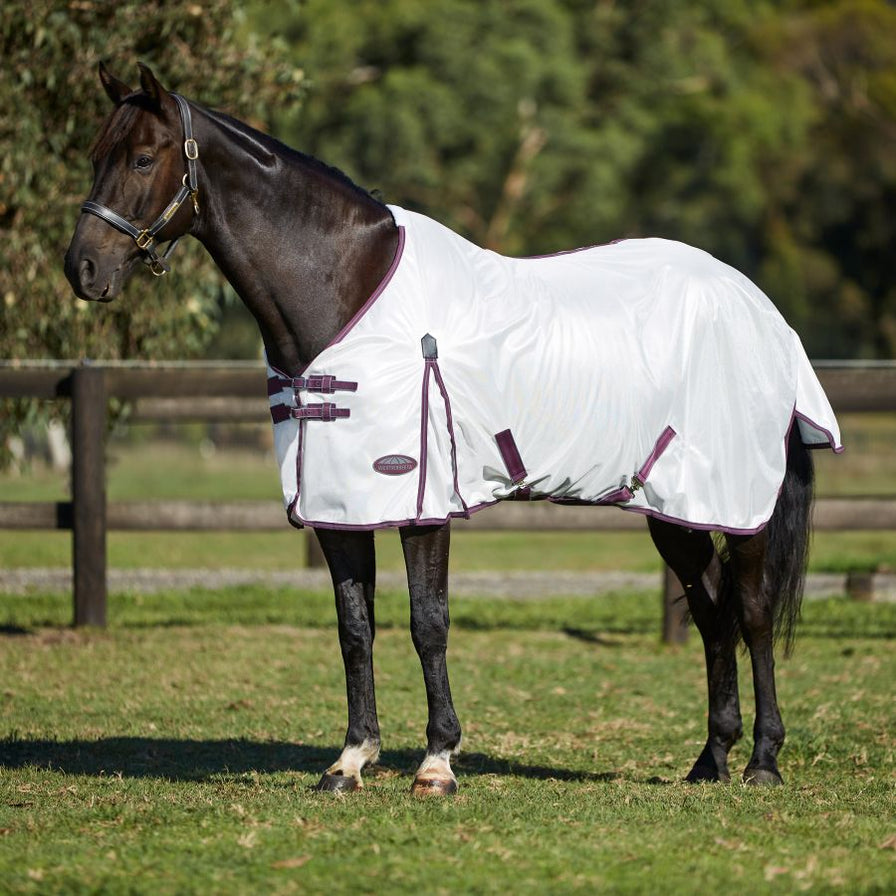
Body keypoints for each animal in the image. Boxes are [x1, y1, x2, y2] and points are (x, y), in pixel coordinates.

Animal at [65, 64, 841, 795]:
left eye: (143, 158)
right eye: (95, 153)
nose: (84, 268)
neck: (347, 287)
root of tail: (759, 309)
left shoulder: (423, 502)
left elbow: (427, 622)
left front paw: (437, 762)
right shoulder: (339, 509)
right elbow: (355, 628)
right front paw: (350, 760)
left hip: (737, 503)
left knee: (751, 610)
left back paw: (762, 761)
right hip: (670, 507)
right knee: (711, 611)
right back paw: (710, 759)